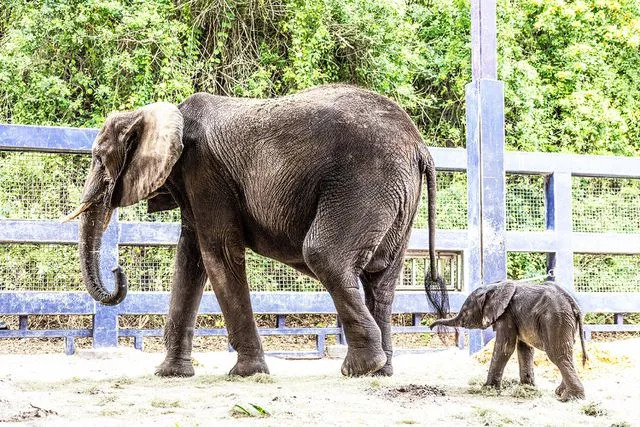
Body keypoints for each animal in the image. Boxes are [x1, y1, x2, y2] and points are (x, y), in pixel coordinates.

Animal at [63, 83, 444, 378]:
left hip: (365, 182)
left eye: (98, 159)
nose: (118, 271)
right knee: (381, 280)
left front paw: (246, 374)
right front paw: (170, 374)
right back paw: (381, 371)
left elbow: (218, 252)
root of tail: (420, 147)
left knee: (325, 257)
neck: (161, 113)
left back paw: (360, 368)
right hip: (397, 196)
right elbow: (190, 259)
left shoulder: (206, 172)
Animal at [432, 280, 588, 402]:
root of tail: (574, 304)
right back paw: (560, 392)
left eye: (465, 312)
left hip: (556, 319)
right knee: (567, 354)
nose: (431, 326)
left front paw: (487, 389)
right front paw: (526, 388)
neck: (494, 287)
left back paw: (570, 398)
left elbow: (505, 348)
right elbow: (524, 349)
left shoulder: (506, 315)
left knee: (558, 355)